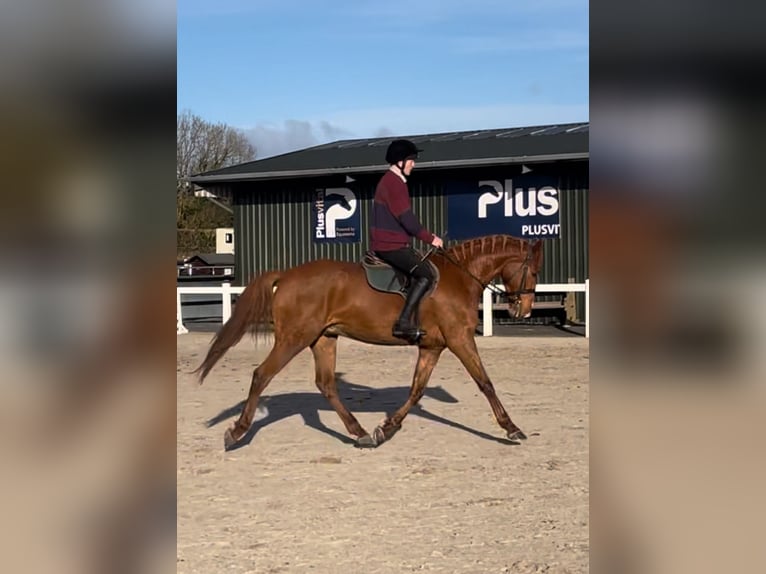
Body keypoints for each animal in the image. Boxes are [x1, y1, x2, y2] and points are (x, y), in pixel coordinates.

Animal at [195, 234, 543, 450]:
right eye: (534, 271)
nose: (523, 309)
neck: (459, 277)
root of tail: (288, 275)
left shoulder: (432, 346)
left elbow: (416, 390)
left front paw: (387, 428)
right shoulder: (459, 339)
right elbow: (485, 382)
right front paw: (511, 428)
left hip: (324, 338)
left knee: (326, 384)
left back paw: (359, 432)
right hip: (294, 338)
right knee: (262, 375)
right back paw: (237, 432)